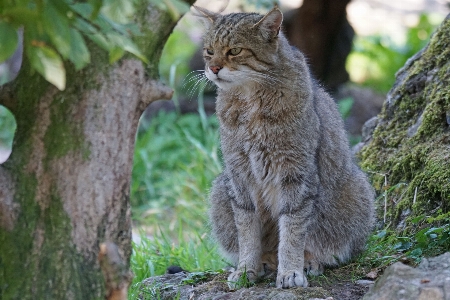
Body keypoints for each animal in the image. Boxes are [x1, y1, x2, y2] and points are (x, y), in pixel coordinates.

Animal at [195, 6, 374, 288]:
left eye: (235, 50)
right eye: (209, 51)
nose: (212, 68)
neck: (250, 101)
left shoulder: (296, 173)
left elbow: (292, 228)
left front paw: (291, 270)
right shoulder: (239, 174)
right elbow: (247, 230)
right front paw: (246, 268)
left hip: (355, 190)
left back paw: (309, 261)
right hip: (221, 189)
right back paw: (266, 262)